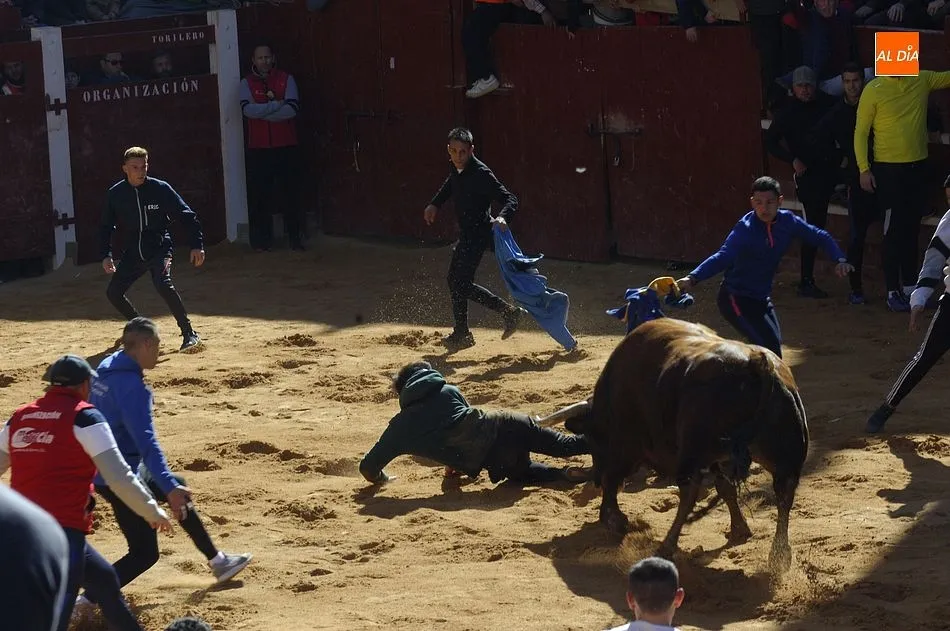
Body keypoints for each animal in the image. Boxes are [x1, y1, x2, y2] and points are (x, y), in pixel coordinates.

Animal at [539, 317, 808, 572]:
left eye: (594, 440)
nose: (593, 480)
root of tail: (756, 363)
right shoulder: (713, 457)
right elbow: (725, 487)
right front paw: (740, 529)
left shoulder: (623, 448)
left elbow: (612, 480)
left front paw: (613, 518)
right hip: (781, 455)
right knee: (784, 493)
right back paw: (779, 555)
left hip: (692, 454)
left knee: (689, 492)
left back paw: (666, 546)